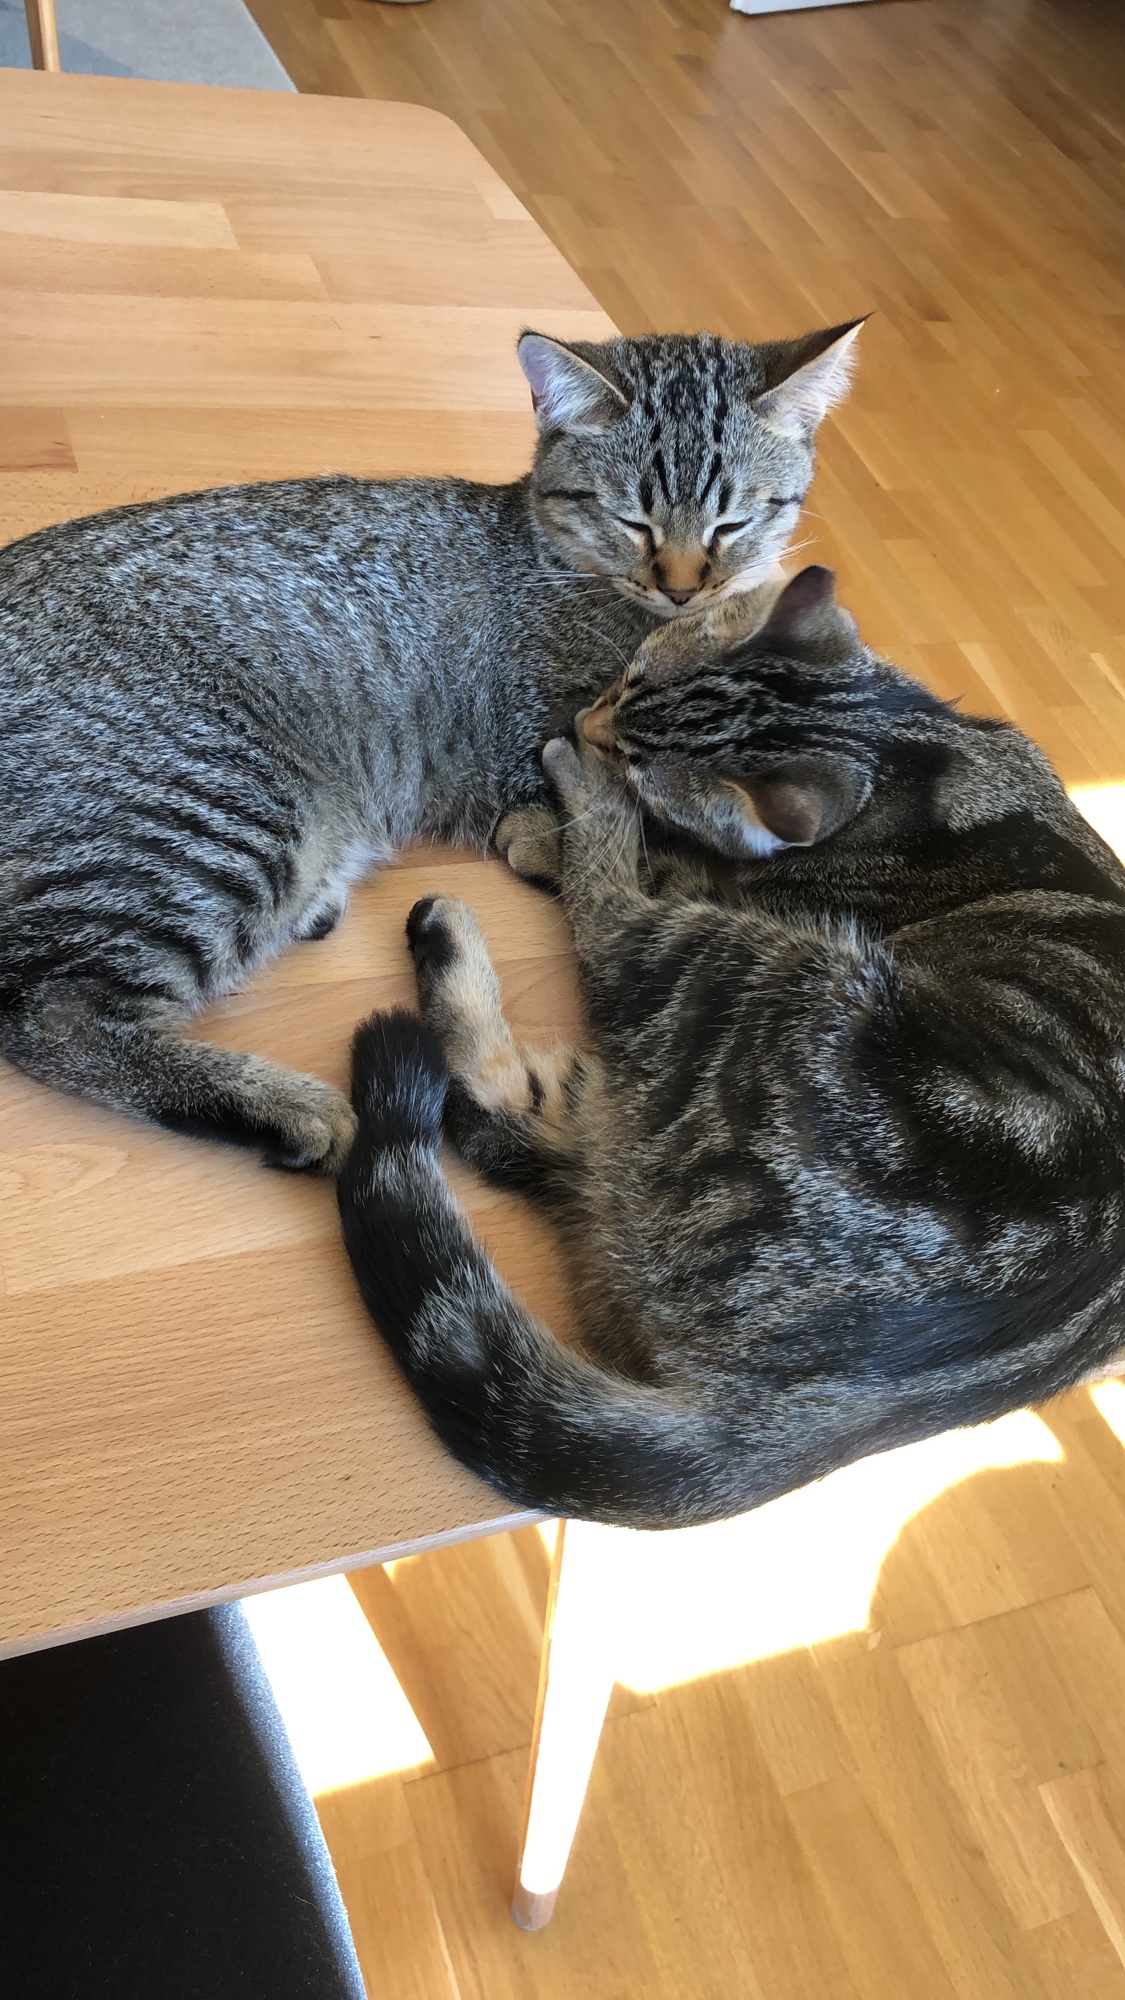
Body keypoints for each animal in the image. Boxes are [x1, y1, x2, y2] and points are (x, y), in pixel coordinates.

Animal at [0, 321, 861, 1170]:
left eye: (733, 522)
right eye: (633, 521)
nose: (684, 585)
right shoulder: (548, 785)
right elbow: (639, 847)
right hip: (214, 815)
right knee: (47, 1011)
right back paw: (279, 1109)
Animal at [338, 566, 1125, 1529]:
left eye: (639, 762)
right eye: (624, 681)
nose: (584, 730)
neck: (904, 746)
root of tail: (799, 1411)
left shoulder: (728, 892)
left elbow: (633, 862)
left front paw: (556, 817)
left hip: (748, 967)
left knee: (604, 934)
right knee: (503, 1120)